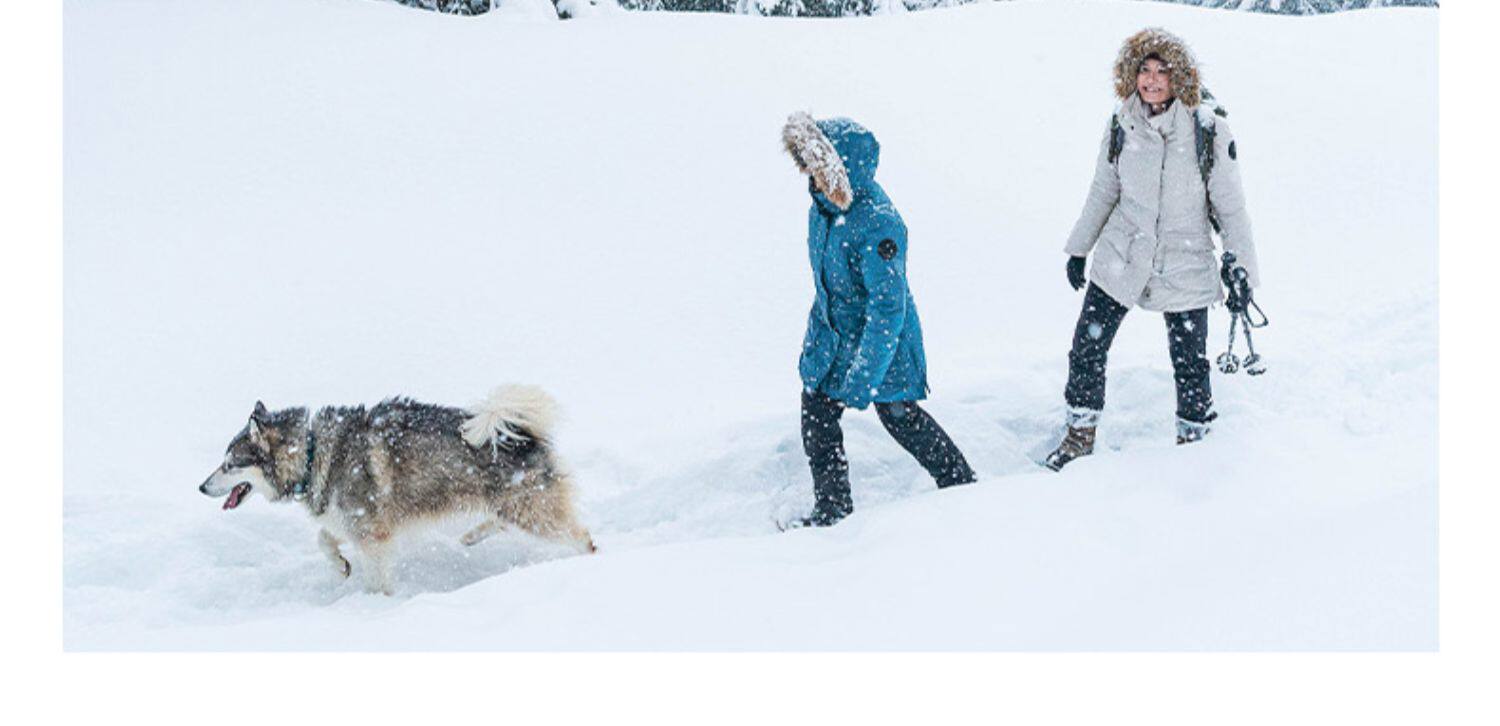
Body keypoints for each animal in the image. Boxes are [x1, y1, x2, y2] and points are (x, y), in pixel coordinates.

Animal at [198, 385, 595, 594]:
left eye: (229, 464)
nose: (201, 486)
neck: (311, 453)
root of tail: (521, 433)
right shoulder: (353, 522)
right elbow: (324, 538)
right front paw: (340, 566)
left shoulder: (373, 534)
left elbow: (376, 577)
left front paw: (375, 602)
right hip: (511, 505)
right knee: (500, 521)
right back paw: (471, 536)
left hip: (532, 510)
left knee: (583, 539)